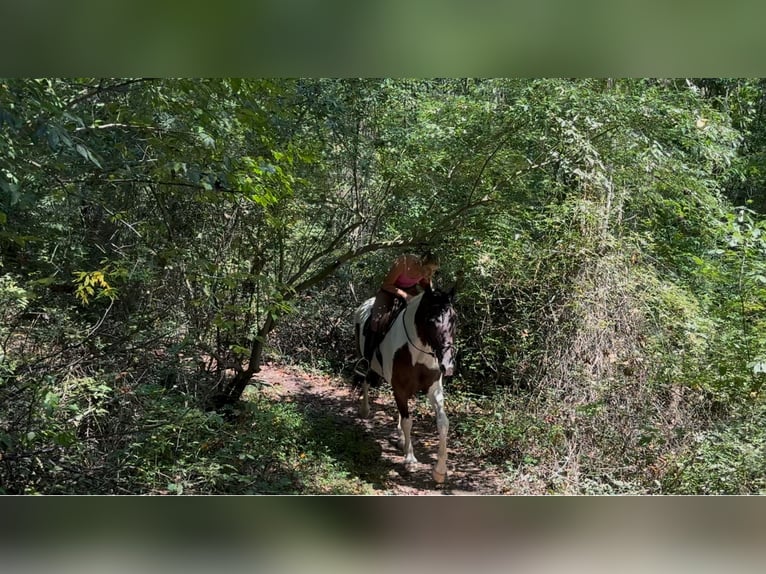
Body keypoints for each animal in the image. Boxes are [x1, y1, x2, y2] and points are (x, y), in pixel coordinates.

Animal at [353, 285, 457, 483]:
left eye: (454, 319)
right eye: (432, 320)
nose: (447, 365)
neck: (418, 353)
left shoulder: (434, 389)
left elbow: (443, 422)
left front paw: (440, 470)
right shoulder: (400, 388)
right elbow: (408, 421)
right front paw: (410, 460)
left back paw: (400, 437)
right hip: (371, 365)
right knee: (367, 381)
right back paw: (365, 410)